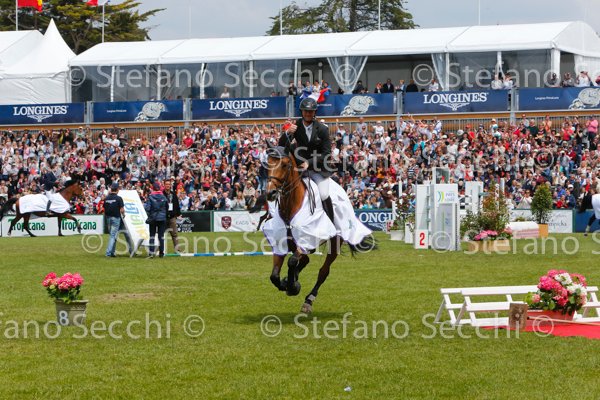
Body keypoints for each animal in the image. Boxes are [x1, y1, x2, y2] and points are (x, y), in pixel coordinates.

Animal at [264, 143, 374, 313]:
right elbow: (275, 275)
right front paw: (287, 283)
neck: (291, 205)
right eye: (268, 163)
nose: (271, 193)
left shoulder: (307, 239)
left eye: (285, 165)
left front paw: (293, 286)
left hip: (335, 243)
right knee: (306, 260)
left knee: (323, 271)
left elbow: (292, 261)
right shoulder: (281, 241)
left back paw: (308, 300)